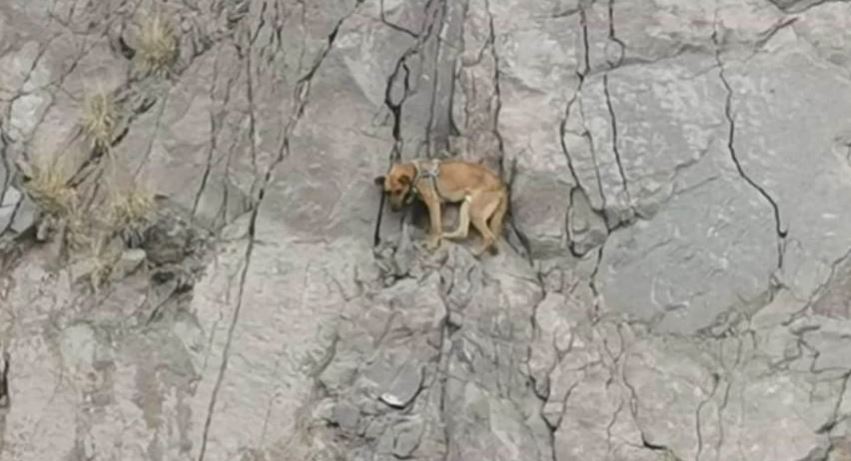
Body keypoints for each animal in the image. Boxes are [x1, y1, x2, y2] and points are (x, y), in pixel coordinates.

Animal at [372, 156, 506, 253]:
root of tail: (501, 185)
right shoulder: (440, 204)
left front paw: (432, 244)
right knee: (463, 231)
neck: (417, 172)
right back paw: (445, 235)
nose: (394, 209)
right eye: (388, 192)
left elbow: (435, 226)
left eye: (399, 191)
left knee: (489, 236)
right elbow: (437, 226)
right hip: (466, 206)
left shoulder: (433, 202)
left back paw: (477, 252)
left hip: (475, 212)